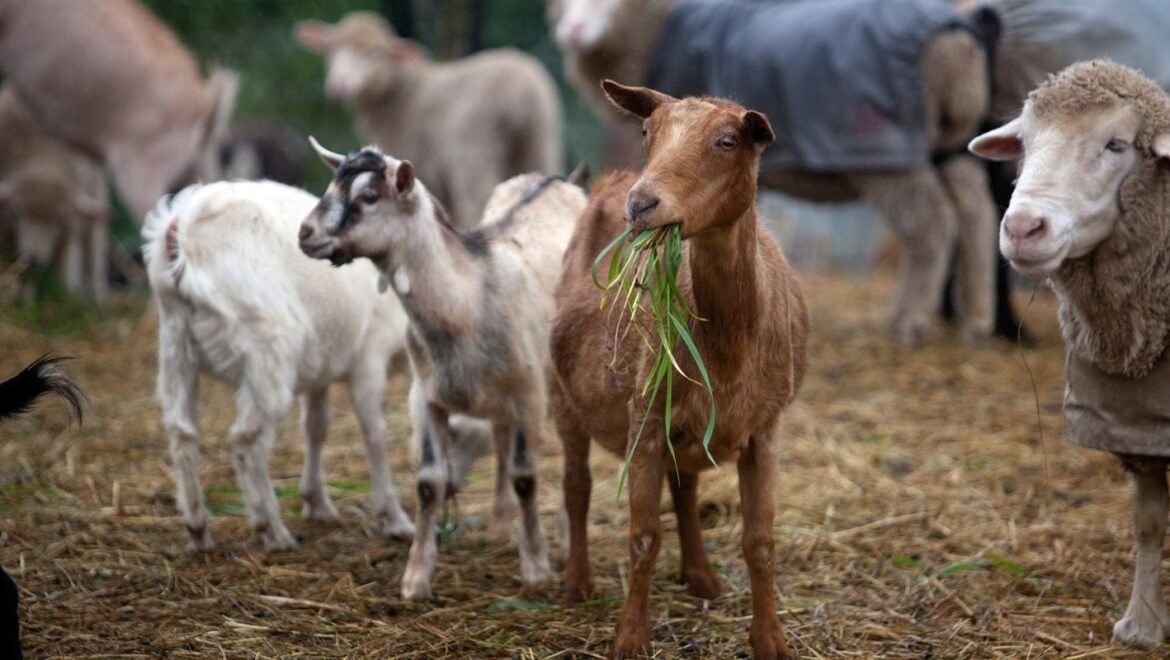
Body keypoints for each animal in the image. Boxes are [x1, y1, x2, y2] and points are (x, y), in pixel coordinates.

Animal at [142, 179, 421, 552]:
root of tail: (181, 230)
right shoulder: (368, 356)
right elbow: (374, 432)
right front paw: (395, 519)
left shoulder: (321, 365)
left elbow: (316, 426)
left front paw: (317, 502)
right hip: (266, 348)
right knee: (246, 440)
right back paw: (272, 529)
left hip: (175, 343)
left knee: (182, 432)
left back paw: (198, 529)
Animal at [294, 9, 563, 231]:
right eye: (333, 48)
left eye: (374, 52)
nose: (339, 85)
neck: (400, 94)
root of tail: (521, 94)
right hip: (539, 142)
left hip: (474, 155)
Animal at [294, 141, 582, 599]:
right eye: (331, 185)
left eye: (369, 196)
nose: (305, 233)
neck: (467, 300)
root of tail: (557, 179)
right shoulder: (426, 396)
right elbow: (429, 483)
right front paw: (415, 579)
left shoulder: (528, 393)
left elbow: (525, 476)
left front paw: (536, 566)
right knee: (500, 441)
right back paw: (499, 528)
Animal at [552, 82, 809, 660]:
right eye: (648, 131)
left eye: (728, 140)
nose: (641, 205)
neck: (730, 349)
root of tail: (610, 181)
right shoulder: (644, 419)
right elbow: (643, 536)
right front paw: (630, 637)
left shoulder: (766, 429)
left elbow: (760, 542)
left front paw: (770, 639)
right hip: (562, 396)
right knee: (576, 485)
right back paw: (577, 582)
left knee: (685, 490)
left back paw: (701, 575)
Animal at [973, 60, 1170, 650]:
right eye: (1025, 143)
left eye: (1117, 144)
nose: (1022, 228)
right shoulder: (1136, 426)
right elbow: (1148, 522)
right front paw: (1142, 624)